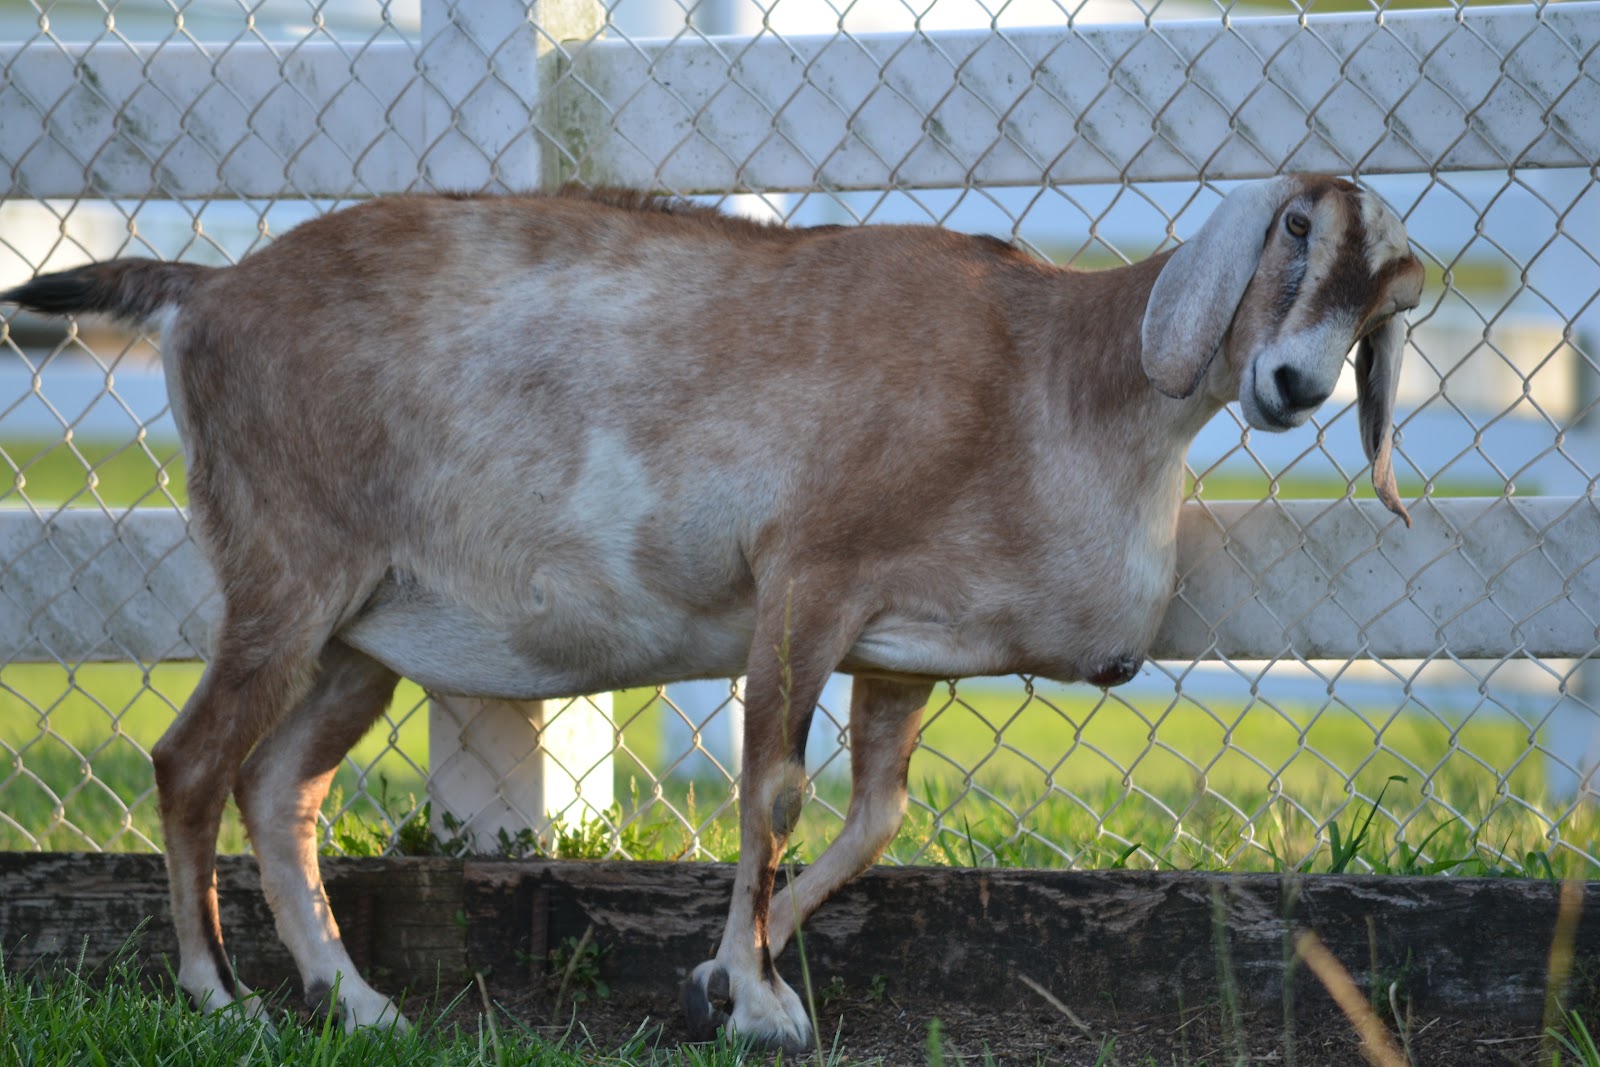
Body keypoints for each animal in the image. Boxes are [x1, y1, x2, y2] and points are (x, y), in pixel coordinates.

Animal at [2, 174, 1422, 1052]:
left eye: (1385, 295)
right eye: (1293, 230)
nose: (1291, 384)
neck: (1049, 370)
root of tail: (205, 290)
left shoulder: (906, 647)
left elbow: (874, 816)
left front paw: (716, 976)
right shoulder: (805, 579)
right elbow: (776, 792)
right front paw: (760, 1002)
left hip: (358, 638)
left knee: (278, 785)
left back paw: (355, 1002)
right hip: (285, 578)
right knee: (189, 763)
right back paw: (218, 996)